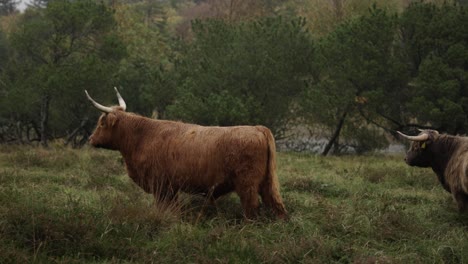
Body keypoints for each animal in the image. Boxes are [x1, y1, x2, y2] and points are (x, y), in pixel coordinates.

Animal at [86, 88, 288, 219]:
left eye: (101, 122)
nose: (91, 139)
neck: (141, 137)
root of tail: (257, 128)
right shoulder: (170, 187)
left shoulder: (160, 185)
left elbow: (164, 208)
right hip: (267, 182)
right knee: (277, 206)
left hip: (247, 184)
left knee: (251, 208)